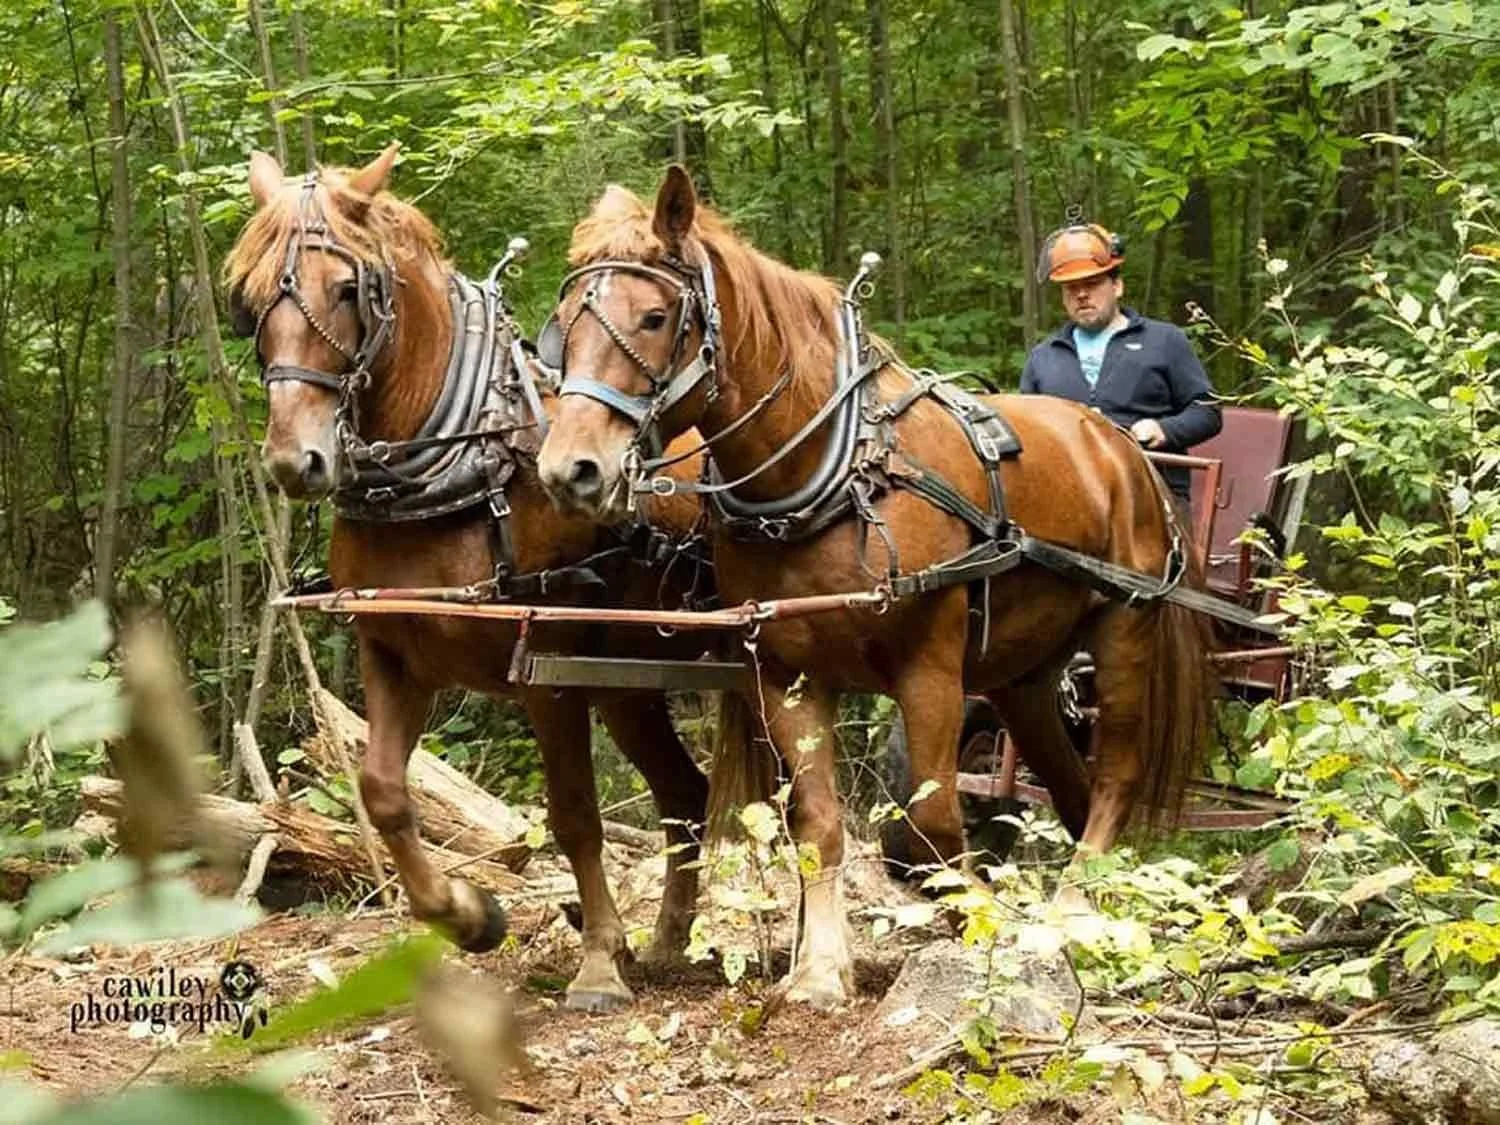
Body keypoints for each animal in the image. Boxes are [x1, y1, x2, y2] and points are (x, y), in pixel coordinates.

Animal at [223, 146, 716, 1011]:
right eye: (248, 303)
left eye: (347, 288)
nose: (293, 459)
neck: (456, 465)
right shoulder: (395, 655)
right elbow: (384, 790)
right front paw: (469, 915)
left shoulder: (548, 670)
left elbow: (574, 814)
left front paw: (596, 962)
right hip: (629, 681)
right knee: (684, 793)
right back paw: (667, 940)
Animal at [534, 166, 1216, 1009]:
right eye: (564, 324)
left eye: (656, 317)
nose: (570, 469)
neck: (832, 474)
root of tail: (1118, 446)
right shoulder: (785, 674)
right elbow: (819, 820)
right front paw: (822, 969)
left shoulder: (929, 667)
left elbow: (934, 817)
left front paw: (976, 928)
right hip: (1023, 677)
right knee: (1070, 783)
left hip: (1125, 628)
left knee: (1114, 776)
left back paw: (1074, 909)